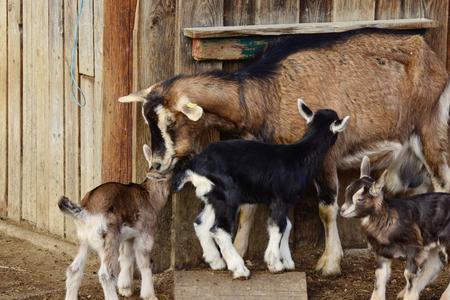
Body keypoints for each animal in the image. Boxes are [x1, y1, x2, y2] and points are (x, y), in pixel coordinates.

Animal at [171, 100, 348, 278]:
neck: (300, 155)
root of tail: (194, 165)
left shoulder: (279, 201)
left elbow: (287, 225)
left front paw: (287, 261)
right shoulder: (280, 198)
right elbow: (279, 226)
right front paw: (275, 264)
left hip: (213, 197)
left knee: (201, 223)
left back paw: (216, 261)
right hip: (228, 196)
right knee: (219, 229)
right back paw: (239, 269)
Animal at [342, 157, 450, 300]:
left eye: (360, 198)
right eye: (346, 192)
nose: (342, 211)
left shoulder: (414, 248)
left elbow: (408, 275)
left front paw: (410, 296)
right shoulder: (382, 252)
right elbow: (379, 276)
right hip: (431, 242)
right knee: (434, 265)